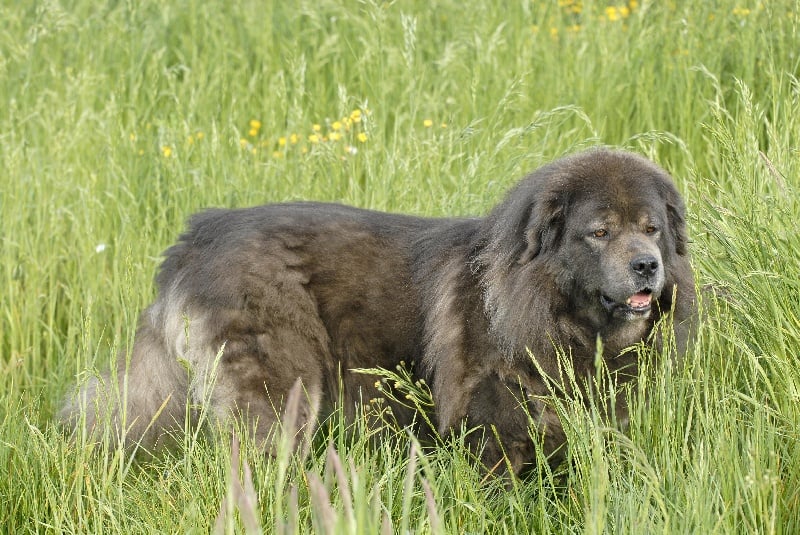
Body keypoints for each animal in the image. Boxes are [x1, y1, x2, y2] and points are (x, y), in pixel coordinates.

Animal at [60, 149, 696, 475]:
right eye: (600, 232)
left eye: (650, 229)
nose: (646, 266)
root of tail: (197, 236)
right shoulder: (494, 427)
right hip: (284, 394)